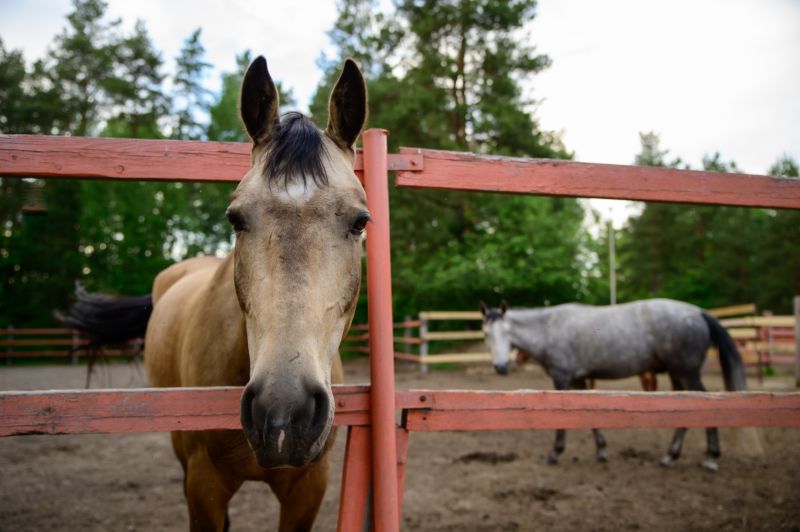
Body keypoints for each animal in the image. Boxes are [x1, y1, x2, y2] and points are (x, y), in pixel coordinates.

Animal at [482, 300, 752, 470]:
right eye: (486, 334)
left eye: (506, 333)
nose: (501, 367)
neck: (549, 328)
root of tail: (699, 313)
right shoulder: (579, 380)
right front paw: (601, 451)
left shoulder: (562, 378)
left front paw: (554, 454)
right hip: (678, 375)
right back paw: (670, 457)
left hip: (686, 373)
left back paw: (710, 458)